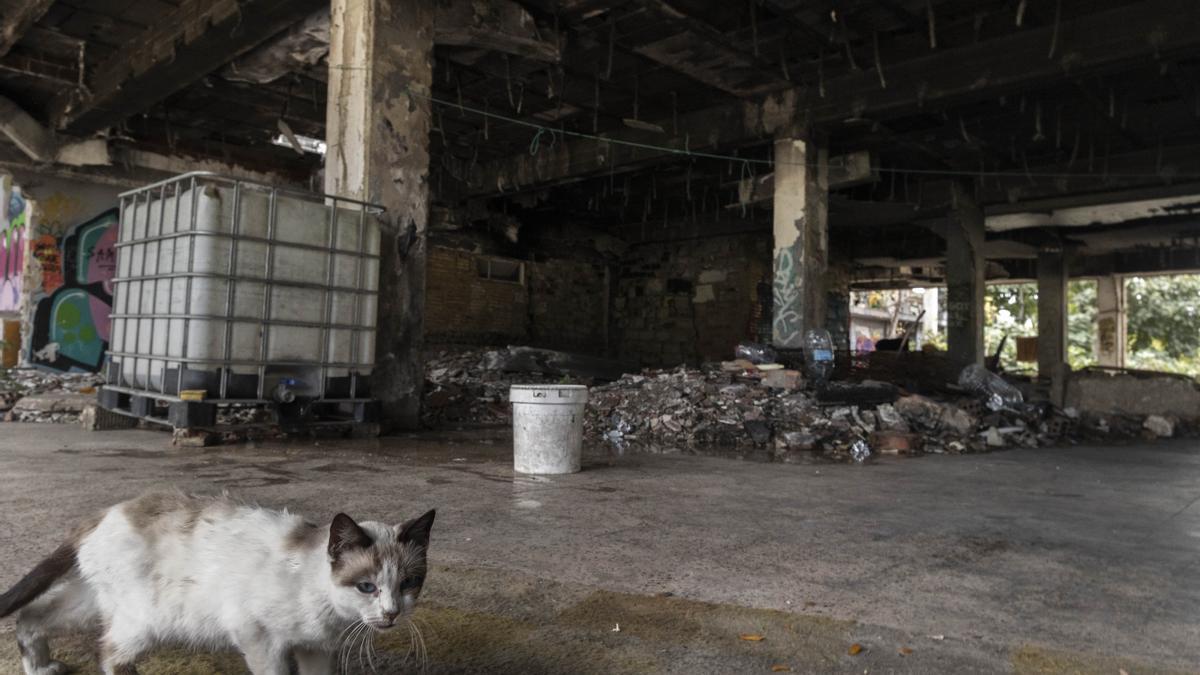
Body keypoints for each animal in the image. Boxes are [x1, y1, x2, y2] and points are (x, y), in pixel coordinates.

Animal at [0, 487, 434, 672]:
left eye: (408, 584)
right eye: (367, 586)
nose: (392, 613)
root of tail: (103, 513)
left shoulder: (316, 649)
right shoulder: (261, 640)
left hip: (90, 602)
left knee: (31, 616)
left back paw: (40, 668)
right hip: (146, 621)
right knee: (109, 654)